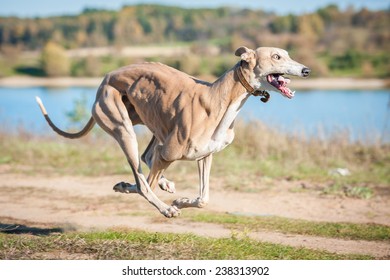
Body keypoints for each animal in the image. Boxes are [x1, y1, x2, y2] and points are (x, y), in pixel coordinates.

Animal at [36, 46, 310, 218]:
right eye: (276, 56)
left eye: (286, 54)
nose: (306, 70)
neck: (222, 97)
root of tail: (105, 77)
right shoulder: (169, 152)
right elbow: (143, 184)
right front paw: (166, 203)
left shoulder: (204, 155)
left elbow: (203, 198)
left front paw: (180, 200)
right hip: (125, 129)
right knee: (143, 177)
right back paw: (159, 202)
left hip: (154, 124)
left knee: (147, 158)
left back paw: (162, 185)